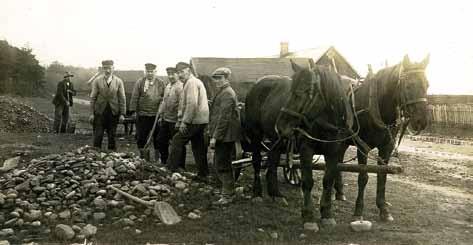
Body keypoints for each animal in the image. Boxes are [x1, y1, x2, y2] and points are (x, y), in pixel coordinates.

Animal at [243, 62, 354, 227]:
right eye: (291, 91)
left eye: (304, 92)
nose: (281, 125)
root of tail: (256, 85)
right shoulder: (306, 149)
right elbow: (308, 181)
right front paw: (308, 215)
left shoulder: (334, 152)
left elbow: (328, 181)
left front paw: (326, 213)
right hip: (256, 135)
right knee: (257, 161)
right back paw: (257, 193)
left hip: (277, 139)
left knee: (272, 161)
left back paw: (276, 194)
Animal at [334, 54, 430, 222]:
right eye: (408, 86)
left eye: (427, 85)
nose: (421, 122)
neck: (376, 104)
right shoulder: (363, 147)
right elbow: (363, 176)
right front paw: (359, 209)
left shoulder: (387, 147)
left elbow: (382, 175)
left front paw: (383, 208)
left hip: (344, 140)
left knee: (338, 159)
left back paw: (339, 192)